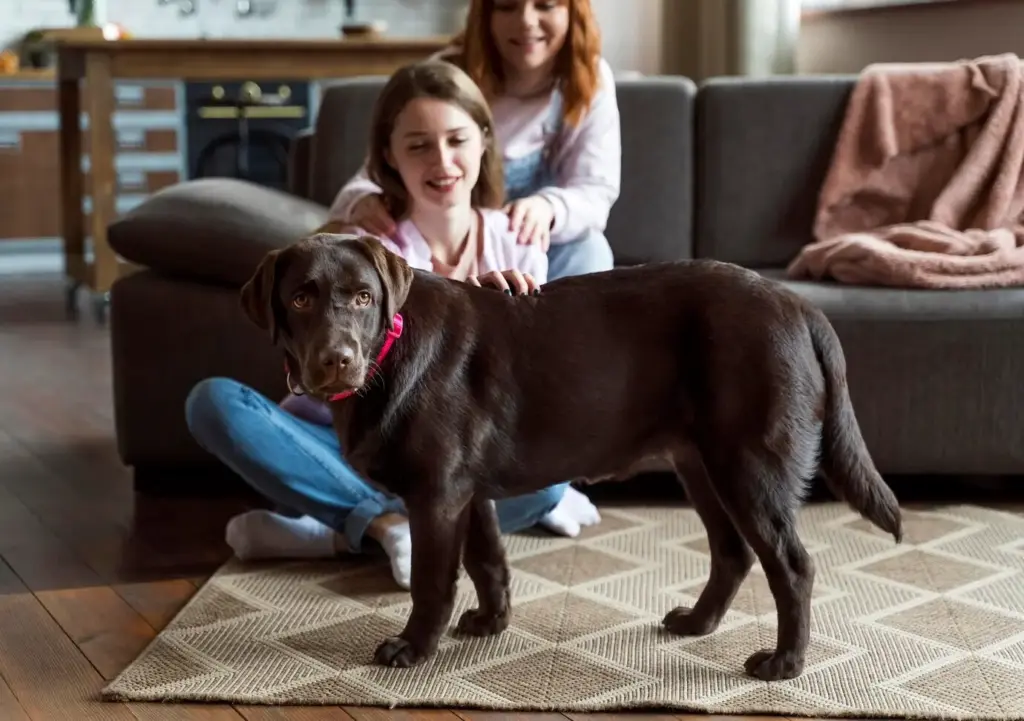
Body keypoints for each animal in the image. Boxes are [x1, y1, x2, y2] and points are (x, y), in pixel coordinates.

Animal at [240, 231, 903, 682]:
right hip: (701, 463)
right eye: (300, 299)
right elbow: (488, 562)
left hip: (748, 465)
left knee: (792, 566)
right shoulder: (466, 491)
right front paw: (490, 626)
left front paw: (414, 649)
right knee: (733, 553)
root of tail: (799, 306)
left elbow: (432, 581)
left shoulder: (436, 494)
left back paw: (785, 662)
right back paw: (697, 624)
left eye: (361, 297)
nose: (336, 359)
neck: (389, 351)